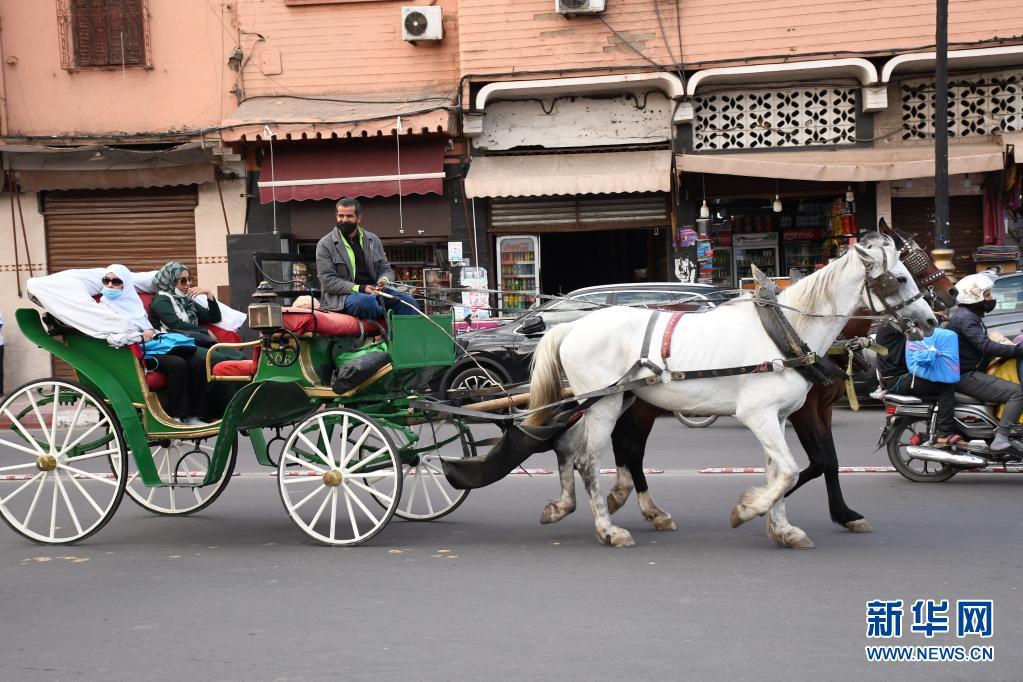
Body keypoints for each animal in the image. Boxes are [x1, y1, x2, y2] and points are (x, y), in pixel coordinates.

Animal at [544, 223, 957, 543]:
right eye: (904, 274)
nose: (933, 318)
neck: (789, 332)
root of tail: (572, 327)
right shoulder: (760, 414)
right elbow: (793, 469)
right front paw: (749, 509)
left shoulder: (781, 416)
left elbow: (785, 469)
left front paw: (782, 527)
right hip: (604, 404)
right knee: (588, 461)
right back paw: (607, 528)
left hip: (626, 402)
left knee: (594, 449)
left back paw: (591, 506)